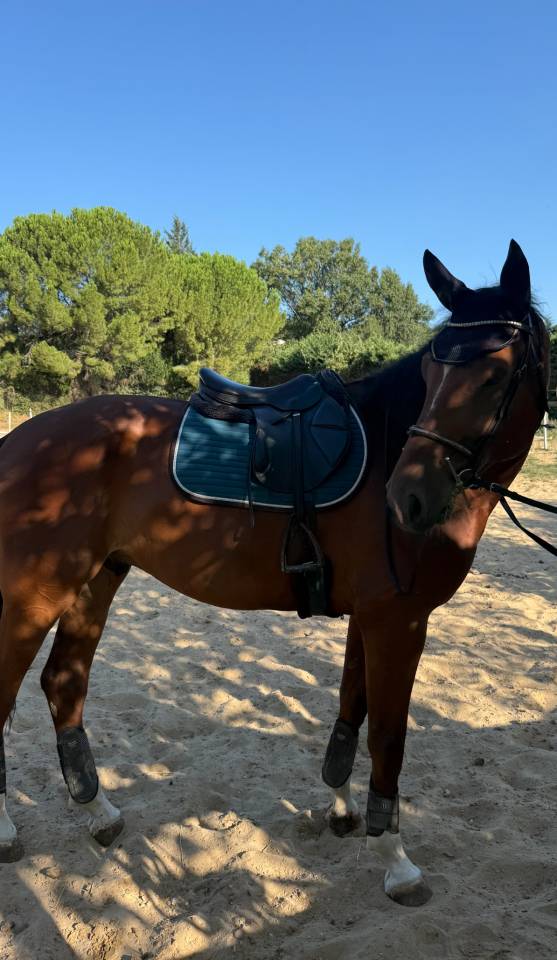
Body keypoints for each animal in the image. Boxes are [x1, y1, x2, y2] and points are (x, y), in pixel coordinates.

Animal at [0, 240, 548, 907]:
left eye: (494, 375)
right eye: (429, 374)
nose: (407, 499)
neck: (386, 449)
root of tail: (19, 442)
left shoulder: (370, 619)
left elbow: (350, 713)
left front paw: (342, 810)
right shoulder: (399, 622)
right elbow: (388, 736)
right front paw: (396, 861)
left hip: (95, 581)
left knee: (64, 683)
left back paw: (100, 812)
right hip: (33, 598)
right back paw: (8, 832)